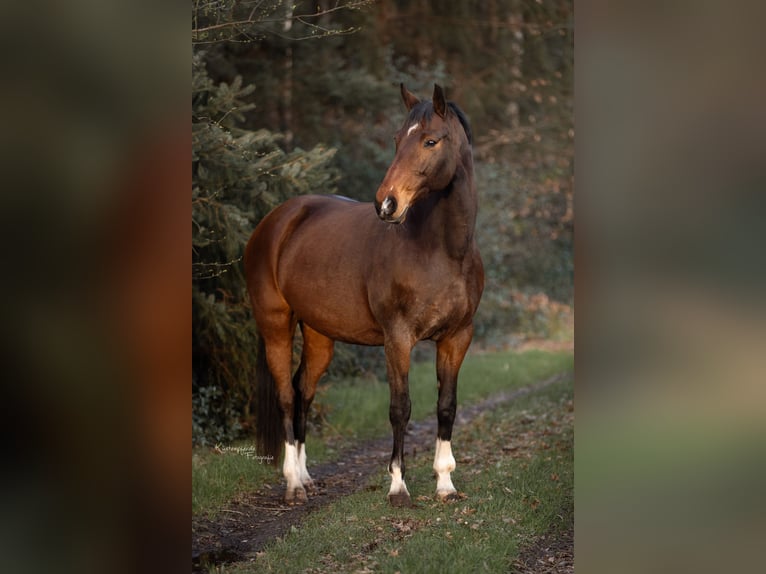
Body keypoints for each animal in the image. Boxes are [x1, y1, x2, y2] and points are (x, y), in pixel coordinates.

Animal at [244, 83, 484, 507]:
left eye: (430, 140)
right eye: (396, 139)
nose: (386, 204)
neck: (443, 252)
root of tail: (275, 221)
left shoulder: (457, 337)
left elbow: (447, 406)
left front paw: (445, 483)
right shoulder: (398, 339)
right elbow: (400, 408)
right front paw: (398, 487)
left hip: (319, 335)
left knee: (304, 391)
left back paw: (306, 479)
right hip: (275, 326)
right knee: (287, 396)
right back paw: (292, 486)